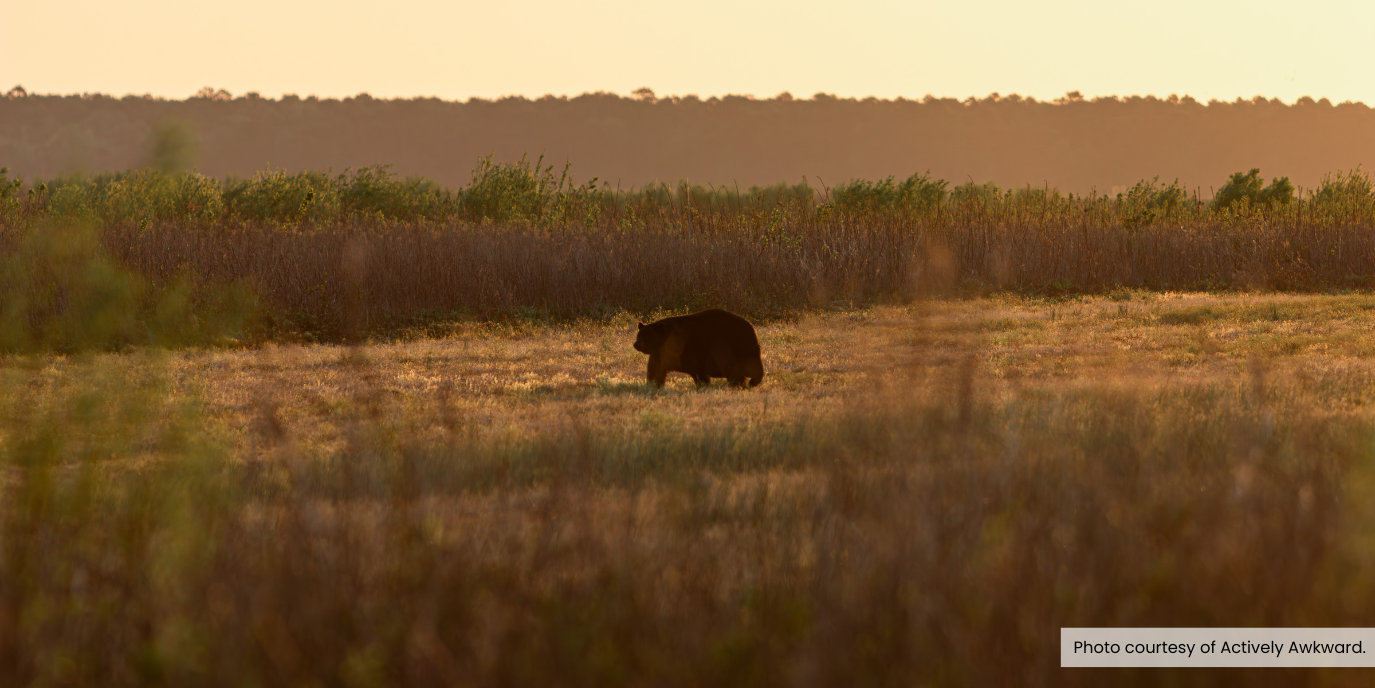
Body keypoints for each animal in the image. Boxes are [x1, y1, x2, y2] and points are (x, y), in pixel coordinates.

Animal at [632, 310, 764, 388]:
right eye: (639, 335)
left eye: (647, 336)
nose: (636, 344)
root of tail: (749, 325)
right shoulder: (659, 353)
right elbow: (656, 370)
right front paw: (654, 384)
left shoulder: (690, 349)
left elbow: (699, 370)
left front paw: (702, 385)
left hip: (738, 346)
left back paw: (747, 382)